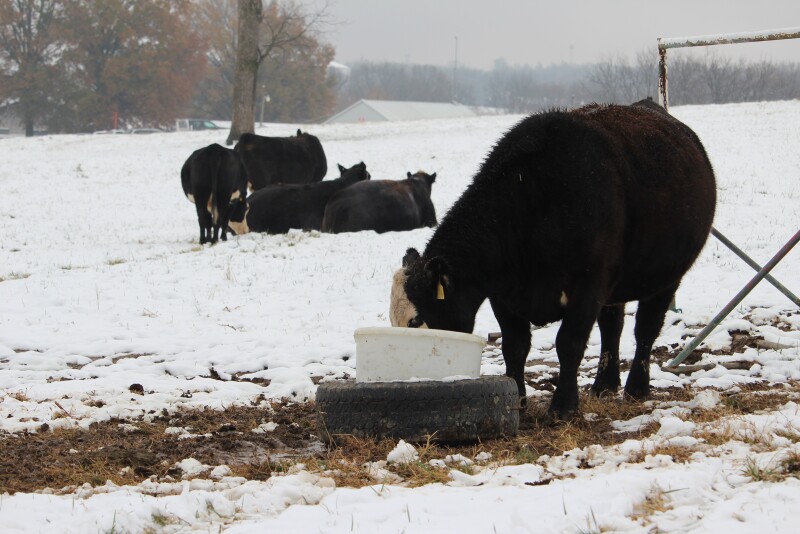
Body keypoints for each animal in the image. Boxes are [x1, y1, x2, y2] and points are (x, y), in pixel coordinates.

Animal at [402, 102, 716, 420]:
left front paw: (564, 406)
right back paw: (604, 384)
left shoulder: (588, 285)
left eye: (435, 305)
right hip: (615, 285)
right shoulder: (502, 295)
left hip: (665, 277)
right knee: (612, 327)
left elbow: (569, 343)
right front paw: (518, 401)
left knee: (646, 330)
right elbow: (515, 347)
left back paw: (636, 387)